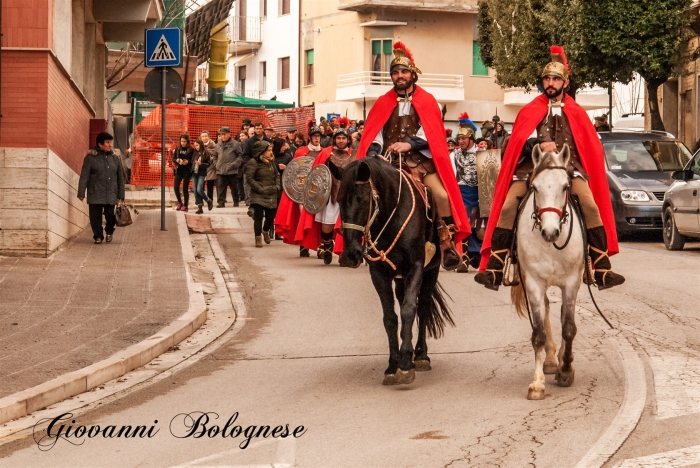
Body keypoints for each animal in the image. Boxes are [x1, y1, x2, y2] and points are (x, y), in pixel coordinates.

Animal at [328, 156, 454, 384]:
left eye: (362, 198)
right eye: (339, 199)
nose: (350, 255)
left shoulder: (416, 267)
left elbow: (409, 310)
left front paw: (405, 364)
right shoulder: (379, 273)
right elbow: (390, 318)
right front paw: (393, 365)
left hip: (431, 271)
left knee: (422, 307)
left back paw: (420, 355)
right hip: (400, 278)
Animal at [508, 144, 584, 400]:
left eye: (565, 186)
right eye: (535, 187)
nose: (550, 232)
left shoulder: (571, 281)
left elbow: (569, 327)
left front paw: (566, 370)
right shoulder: (533, 283)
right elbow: (539, 333)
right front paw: (537, 383)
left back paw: (559, 361)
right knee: (549, 309)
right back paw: (550, 360)